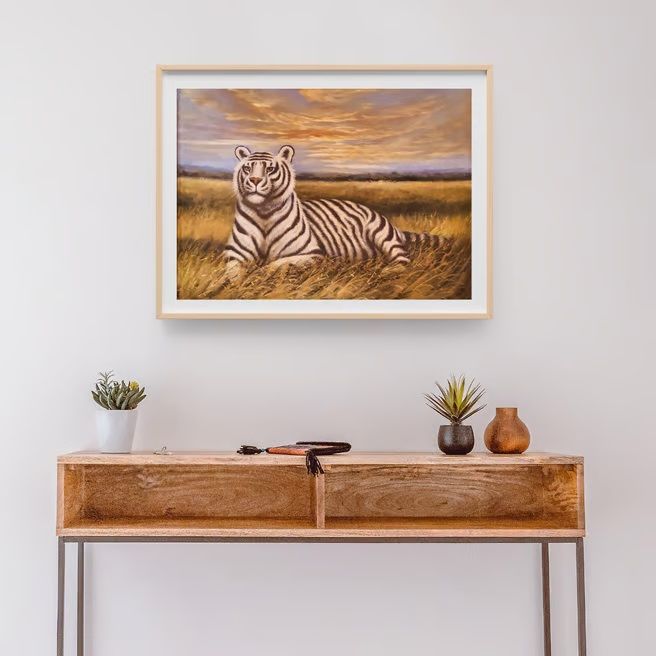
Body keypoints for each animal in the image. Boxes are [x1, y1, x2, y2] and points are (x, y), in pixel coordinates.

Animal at [222, 145, 446, 276]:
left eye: (269, 169)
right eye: (248, 168)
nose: (255, 180)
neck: (264, 212)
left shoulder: (311, 253)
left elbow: (277, 264)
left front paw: (260, 273)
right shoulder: (234, 254)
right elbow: (232, 273)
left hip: (382, 234)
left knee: (402, 258)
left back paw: (387, 271)